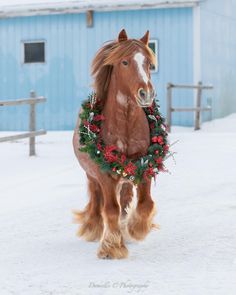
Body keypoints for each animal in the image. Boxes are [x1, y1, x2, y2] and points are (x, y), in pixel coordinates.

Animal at [72, 28, 157, 260]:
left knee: (125, 200)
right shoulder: (104, 174)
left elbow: (146, 204)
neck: (125, 125)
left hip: (126, 175)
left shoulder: (145, 165)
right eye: (125, 62)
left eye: (149, 63)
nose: (146, 94)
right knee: (98, 203)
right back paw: (94, 227)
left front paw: (135, 229)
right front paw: (112, 247)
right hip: (92, 175)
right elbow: (110, 210)